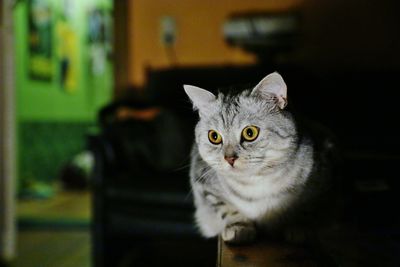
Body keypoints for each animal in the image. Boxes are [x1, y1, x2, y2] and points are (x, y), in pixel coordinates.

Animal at [184, 71, 338, 245]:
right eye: (214, 137)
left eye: (250, 133)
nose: (229, 158)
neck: (256, 182)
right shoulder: (204, 184)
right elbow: (225, 207)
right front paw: (239, 227)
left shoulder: (325, 177)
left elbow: (309, 207)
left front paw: (301, 227)